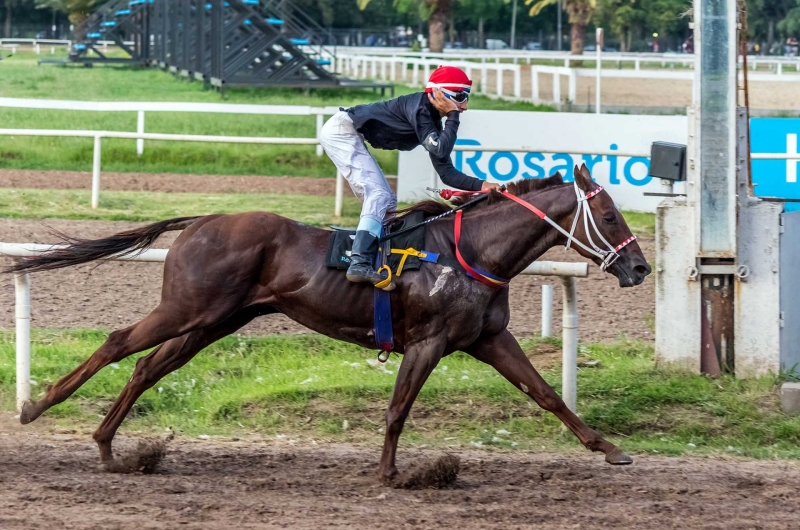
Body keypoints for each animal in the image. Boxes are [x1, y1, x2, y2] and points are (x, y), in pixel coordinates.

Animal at [7, 163, 648, 476]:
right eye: (610, 217)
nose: (640, 267)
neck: (471, 252)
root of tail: (205, 218)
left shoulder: (488, 338)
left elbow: (546, 394)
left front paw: (609, 449)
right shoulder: (430, 341)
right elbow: (397, 409)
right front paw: (390, 472)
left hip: (214, 322)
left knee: (147, 368)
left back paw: (108, 447)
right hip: (187, 307)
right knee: (119, 342)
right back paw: (37, 407)